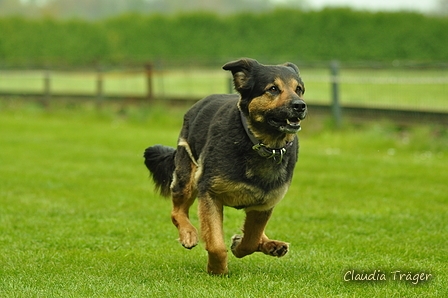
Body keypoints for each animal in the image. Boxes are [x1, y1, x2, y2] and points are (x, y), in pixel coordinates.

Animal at [145, 58, 306, 274]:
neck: (258, 143)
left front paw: (239, 245)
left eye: (299, 89)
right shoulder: (210, 194)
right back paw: (188, 233)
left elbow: (250, 240)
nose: (300, 105)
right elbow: (216, 245)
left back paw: (270, 244)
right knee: (176, 211)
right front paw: (217, 270)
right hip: (187, 179)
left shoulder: (263, 205)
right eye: (273, 89)